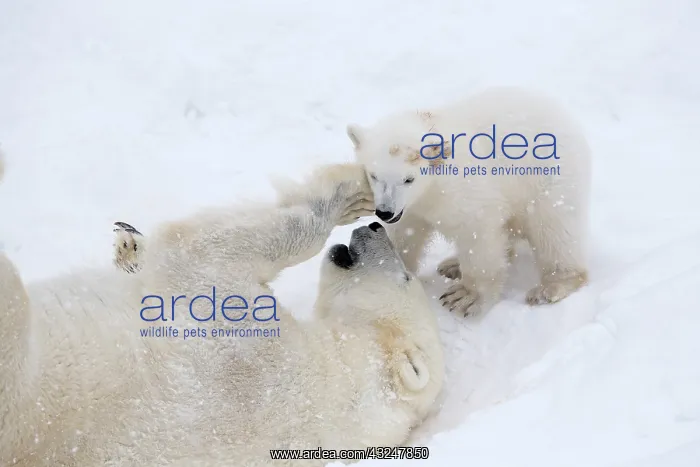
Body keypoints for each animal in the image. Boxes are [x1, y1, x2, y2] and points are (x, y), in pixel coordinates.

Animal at [347, 86, 592, 317]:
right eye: (373, 175)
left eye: (409, 179)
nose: (384, 212)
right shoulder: (410, 209)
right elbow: (406, 234)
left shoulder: (465, 191)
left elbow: (478, 236)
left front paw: (465, 297)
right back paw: (452, 264)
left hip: (547, 177)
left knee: (552, 229)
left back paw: (551, 286)